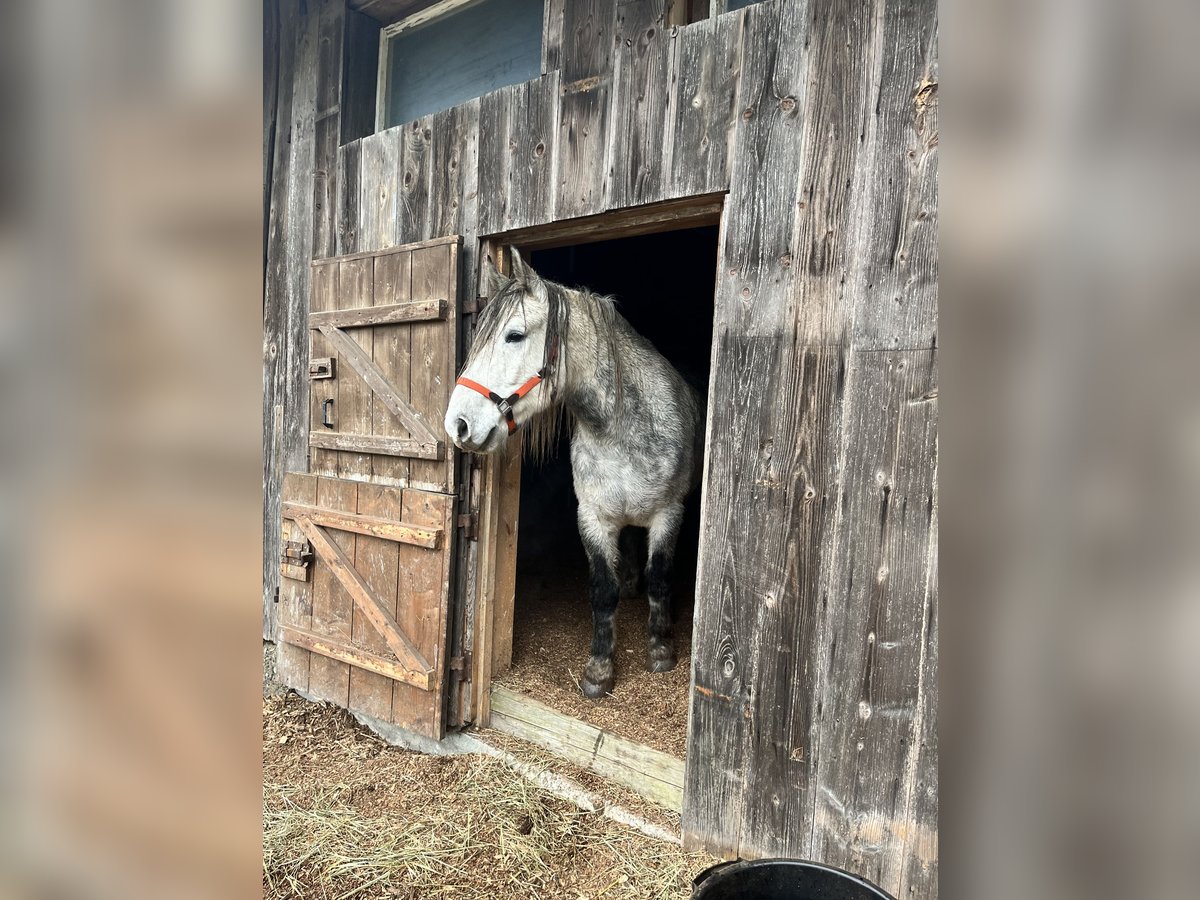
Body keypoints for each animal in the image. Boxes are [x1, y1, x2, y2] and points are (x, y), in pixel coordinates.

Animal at [444, 250, 700, 700]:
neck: (622, 429)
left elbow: (660, 579)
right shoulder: (594, 518)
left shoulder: (668, 515)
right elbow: (603, 590)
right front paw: (598, 670)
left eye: (514, 336)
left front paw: (660, 651)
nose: (457, 425)